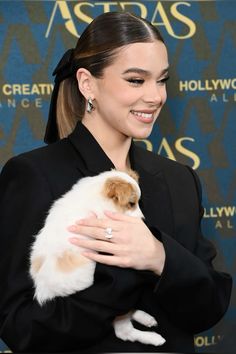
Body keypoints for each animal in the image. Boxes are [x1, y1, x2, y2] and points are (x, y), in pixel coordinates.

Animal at [29, 170, 165, 348]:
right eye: (131, 203)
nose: (143, 221)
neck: (95, 194)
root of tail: (42, 290)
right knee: (124, 331)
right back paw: (154, 338)